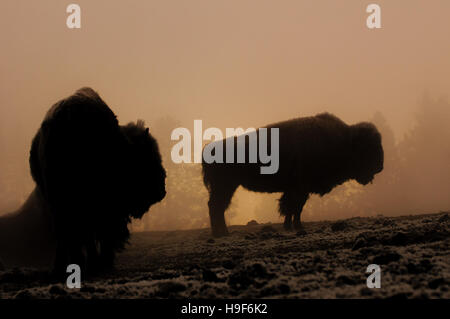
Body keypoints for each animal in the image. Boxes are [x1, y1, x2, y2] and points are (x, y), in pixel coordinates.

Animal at [203, 112, 384, 238]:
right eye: (369, 147)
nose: (380, 167)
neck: (345, 140)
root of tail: (208, 149)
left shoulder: (296, 189)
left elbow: (292, 208)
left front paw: (289, 226)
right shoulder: (300, 188)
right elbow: (295, 207)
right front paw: (297, 227)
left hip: (227, 187)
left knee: (217, 207)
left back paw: (221, 233)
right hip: (225, 187)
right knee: (216, 207)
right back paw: (221, 233)